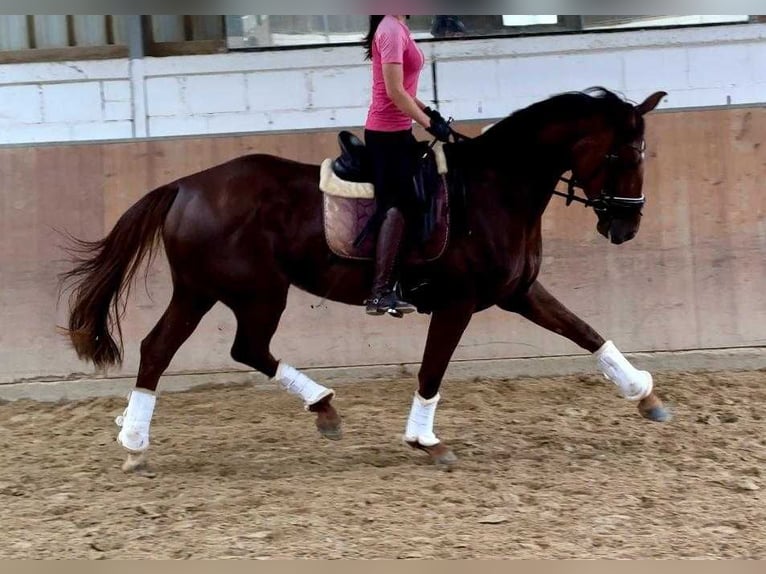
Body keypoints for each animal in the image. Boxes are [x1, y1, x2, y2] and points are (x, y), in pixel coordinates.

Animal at [60, 85, 672, 472]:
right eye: (622, 155)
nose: (626, 225)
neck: (497, 188)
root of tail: (185, 185)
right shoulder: (458, 303)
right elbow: (431, 370)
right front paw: (425, 441)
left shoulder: (518, 293)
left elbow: (585, 332)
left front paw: (644, 394)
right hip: (252, 292)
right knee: (231, 348)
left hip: (205, 291)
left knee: (170, 348)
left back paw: (143, 438)